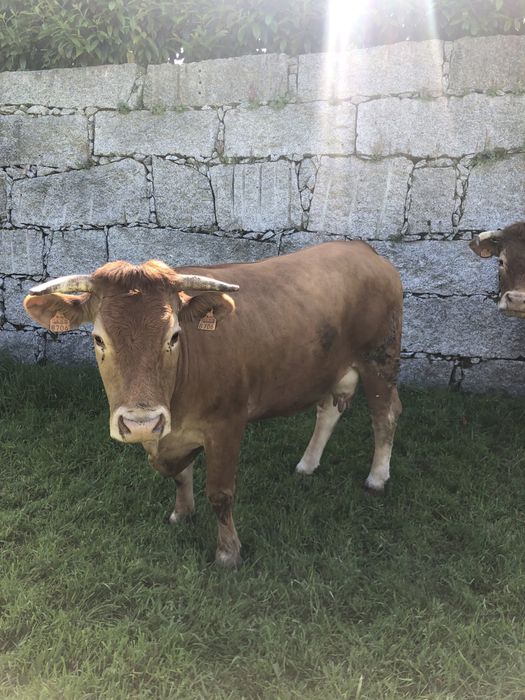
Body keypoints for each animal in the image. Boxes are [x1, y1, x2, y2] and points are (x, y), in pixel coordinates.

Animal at [24, 241, 403, 567]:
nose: (141, 423)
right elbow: (180, 476)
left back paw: (377, 478)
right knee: (329, 411)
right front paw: (181, 513)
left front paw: (228, 552)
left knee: (385, 414)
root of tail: (362, 250)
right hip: (330, 369)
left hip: (380, 359)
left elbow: (220, 493)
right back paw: (307, 465)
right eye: (98, 339)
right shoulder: (173, 434)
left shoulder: (227, 425)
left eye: (174, 336)